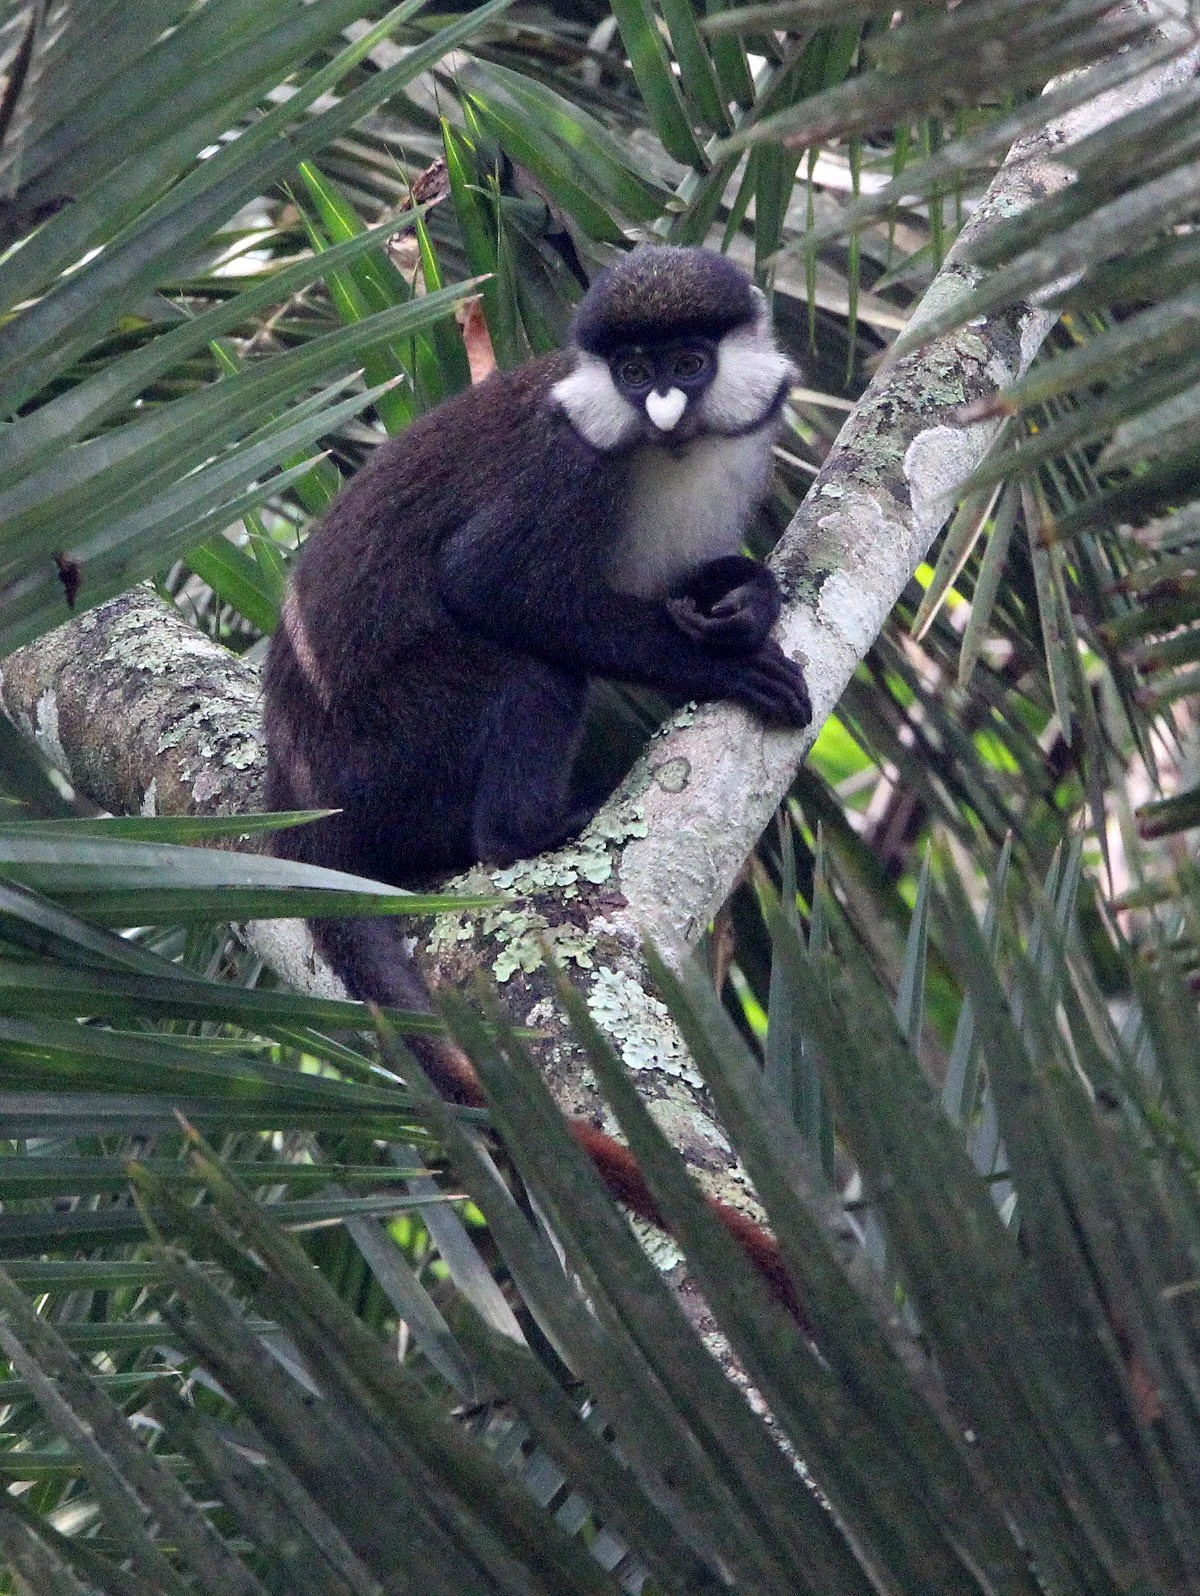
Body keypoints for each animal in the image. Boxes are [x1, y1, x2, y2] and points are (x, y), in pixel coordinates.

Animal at [262, 245, 812, 1314]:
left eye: (687, 360)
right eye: (634, 373)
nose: (665, 409)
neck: (669, 459)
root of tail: (297, 789)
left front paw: (747, 597)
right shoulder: (569, 470)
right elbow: (489, 584)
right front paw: (723, 666)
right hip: (395, 742)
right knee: (529, 664)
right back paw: (529, 833)